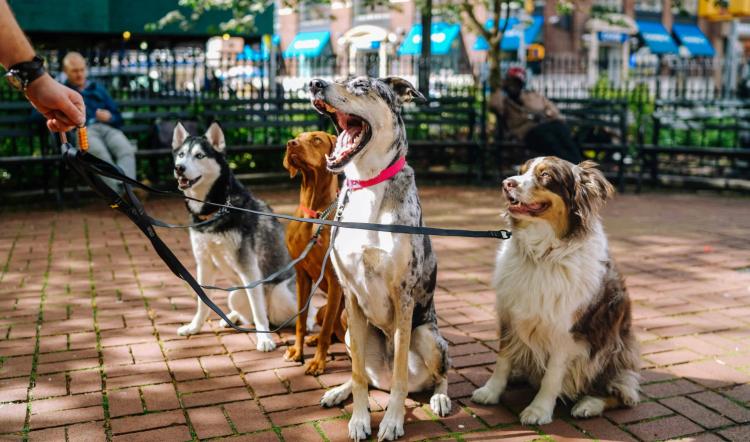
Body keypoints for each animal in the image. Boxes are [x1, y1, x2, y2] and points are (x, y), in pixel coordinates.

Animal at [282, 132, 346, 376]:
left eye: (316, 139)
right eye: (296, 137)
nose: (290, 144)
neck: (315, 214)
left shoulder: (335, 280)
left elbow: (327, 329)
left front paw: (318, 363)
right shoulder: (301, 275)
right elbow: (301, 320)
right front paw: (297, 351)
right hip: (321, 309)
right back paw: (313, 339)